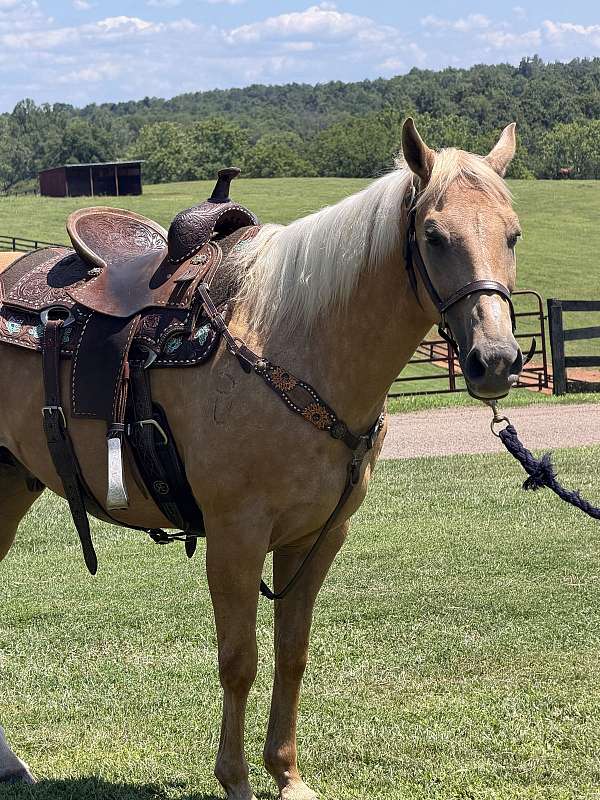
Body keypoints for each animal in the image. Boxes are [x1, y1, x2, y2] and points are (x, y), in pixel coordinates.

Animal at [0, 118, 523, 799]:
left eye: (512, 234)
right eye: (434, 236)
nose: (496, 360)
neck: (292, 343)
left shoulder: (317, 538)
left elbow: (291, 655)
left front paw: (288, 775)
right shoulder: (236, 536)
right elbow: (239, 660)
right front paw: (236, 779)